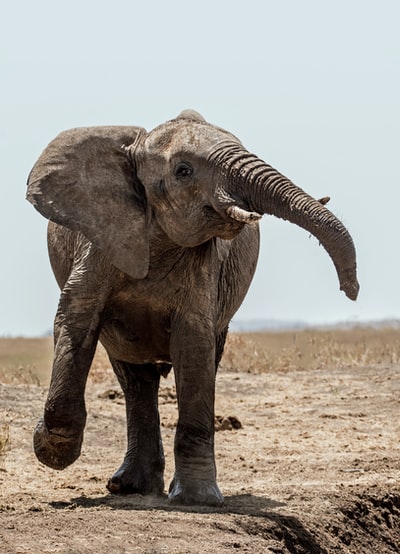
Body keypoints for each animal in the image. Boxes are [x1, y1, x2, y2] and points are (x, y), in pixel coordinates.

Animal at [27, 108, 360, 504]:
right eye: (183, 171)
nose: (351, 289)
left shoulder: (205, 265)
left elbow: (193, 343)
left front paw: (196, 499)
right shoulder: (100, 240)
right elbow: (76, 317)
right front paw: (50, 450)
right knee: (134, 378)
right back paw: (128, 487)